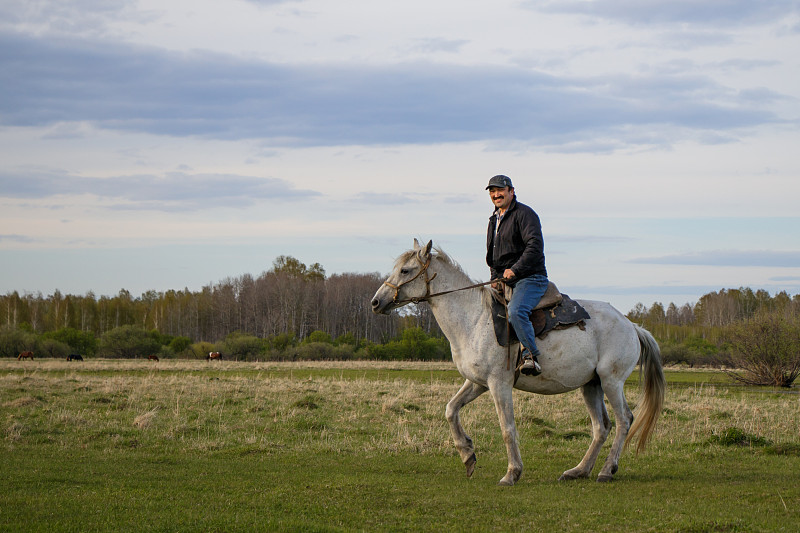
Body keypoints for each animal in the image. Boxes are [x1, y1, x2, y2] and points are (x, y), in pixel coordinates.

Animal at [372, 239, 664, 484]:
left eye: (406, 271)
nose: (376, 302)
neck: (474, 319)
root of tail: (632, 325)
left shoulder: (498, 384)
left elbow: (507, 428)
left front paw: (512, 472)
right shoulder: (477, 382)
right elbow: (451, 409)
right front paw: (467, 455)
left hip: (611, 381)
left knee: (624, 420)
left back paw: (606, 470)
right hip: (591, 385)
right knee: (601, 427)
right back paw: (579, 470)